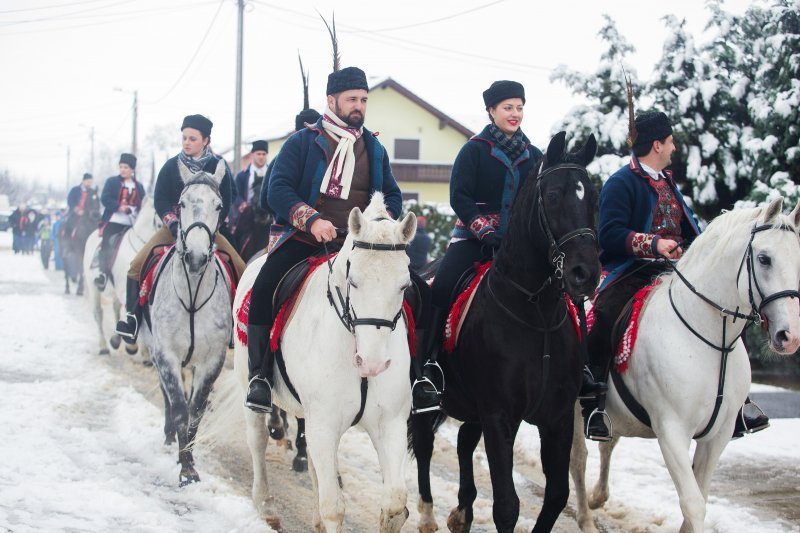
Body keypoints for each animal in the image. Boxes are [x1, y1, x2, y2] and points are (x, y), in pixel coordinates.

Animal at [83, 195, 160, 354]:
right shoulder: (127, 289)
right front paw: (134, 347)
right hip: (94, 287)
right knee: (99, 313)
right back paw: (104, 346)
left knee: (115, 308)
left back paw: (116, 339)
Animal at [141, 159, 233, 486]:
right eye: (181, 203)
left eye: (219, 206)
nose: (195, 257)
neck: (192, 296)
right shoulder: (166, 353)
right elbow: (180, 407)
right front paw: (185, 468)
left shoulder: (212, 361)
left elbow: (196, 410)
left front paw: (190, 462)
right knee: (168, 395)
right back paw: (169, 437)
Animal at [231, 193, 416, 528]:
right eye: (353, 281)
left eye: (404, 285)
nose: (371, 363)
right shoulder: (324, 423)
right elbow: (333, 507)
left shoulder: (389, 423)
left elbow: (395, 503)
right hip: (248, 385)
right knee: (258, 440)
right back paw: (266, 505)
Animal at [412, 131, 600, 528]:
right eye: (553, 196)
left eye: (592, 197)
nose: (585, 273)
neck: (535, 311)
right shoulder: (499, 415)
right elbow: (507, 505)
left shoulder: (557, 417)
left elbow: (556, 495)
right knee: (423, 444)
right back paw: (427, 515)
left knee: (464, 440)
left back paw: (462, 511)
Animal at [572, 197, 800, 528]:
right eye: (764, 259)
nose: (789, 336)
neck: (709, 338)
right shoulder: (672, 431)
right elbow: (693, 504)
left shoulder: (718, 435)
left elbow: (700, 497)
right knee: (578, 460)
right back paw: (586, 518)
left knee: (606, 444)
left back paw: (597, 497)